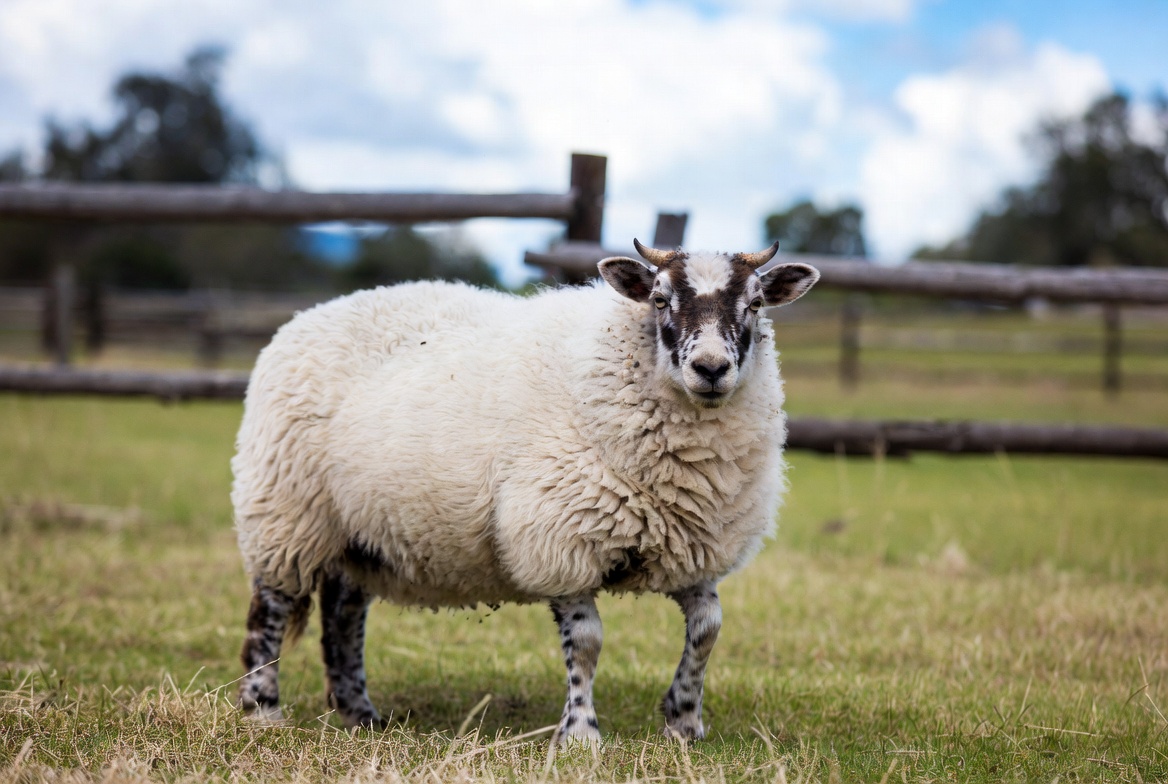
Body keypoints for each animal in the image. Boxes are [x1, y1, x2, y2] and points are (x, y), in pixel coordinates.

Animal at [233, 239, 819, 743]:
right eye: (659, 299)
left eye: (756, 303)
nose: (711, 369)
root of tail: (310, 314)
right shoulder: (558, 536)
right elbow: (586, 643)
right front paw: (580, 736)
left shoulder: (693, 544)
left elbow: (707, 630)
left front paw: (684, 724)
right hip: (285, 511)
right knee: (270, 608)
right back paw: (263, 711)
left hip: (359, 530)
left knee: (343, 613)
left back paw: (360, 715)